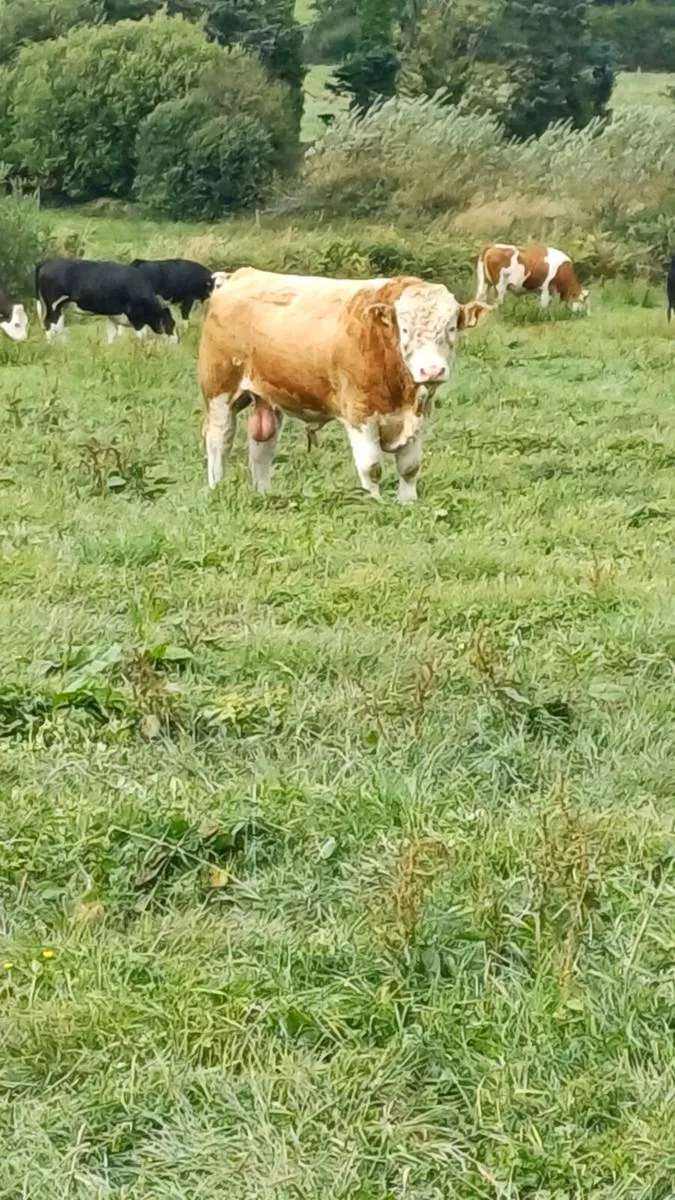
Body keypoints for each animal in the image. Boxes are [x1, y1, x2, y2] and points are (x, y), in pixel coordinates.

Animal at [35, 259, 177, 344]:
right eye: (171, 325)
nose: (176, 342)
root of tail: (46, 262)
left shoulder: (114, 316)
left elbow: (111, 335)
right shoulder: (136, 317)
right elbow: (142, 335)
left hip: (60, 306)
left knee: (58, 326)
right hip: (53, 305)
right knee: (50, 324)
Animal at [198, 268, 490, 503]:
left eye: (451, 327)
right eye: (405, 329)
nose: (432, 370)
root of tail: (238, 275)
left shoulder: (419, 416)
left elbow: (410, 468)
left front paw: (408, 504)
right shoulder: (360, 414)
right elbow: (371, 467)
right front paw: (374, 503)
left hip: (269, 397)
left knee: (262, 447)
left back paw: (263, 493)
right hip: (219, 390)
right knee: (219, 439)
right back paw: (216, 487)